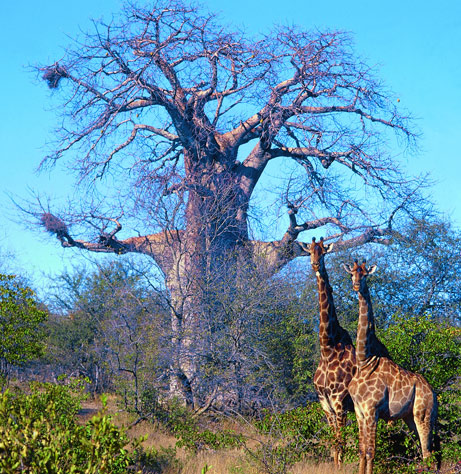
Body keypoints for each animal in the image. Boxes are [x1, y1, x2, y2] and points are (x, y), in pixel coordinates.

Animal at [344, 262, 436, 474]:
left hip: (423, 414)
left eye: (364, 275)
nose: (355, 285)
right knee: (429, 452)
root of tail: (433, 393)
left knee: (428, 453)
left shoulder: (372, 410)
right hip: (410, 417)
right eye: (352, 274)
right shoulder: (359, 411)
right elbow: (362, 450)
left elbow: (371, 451)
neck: (364, 360)